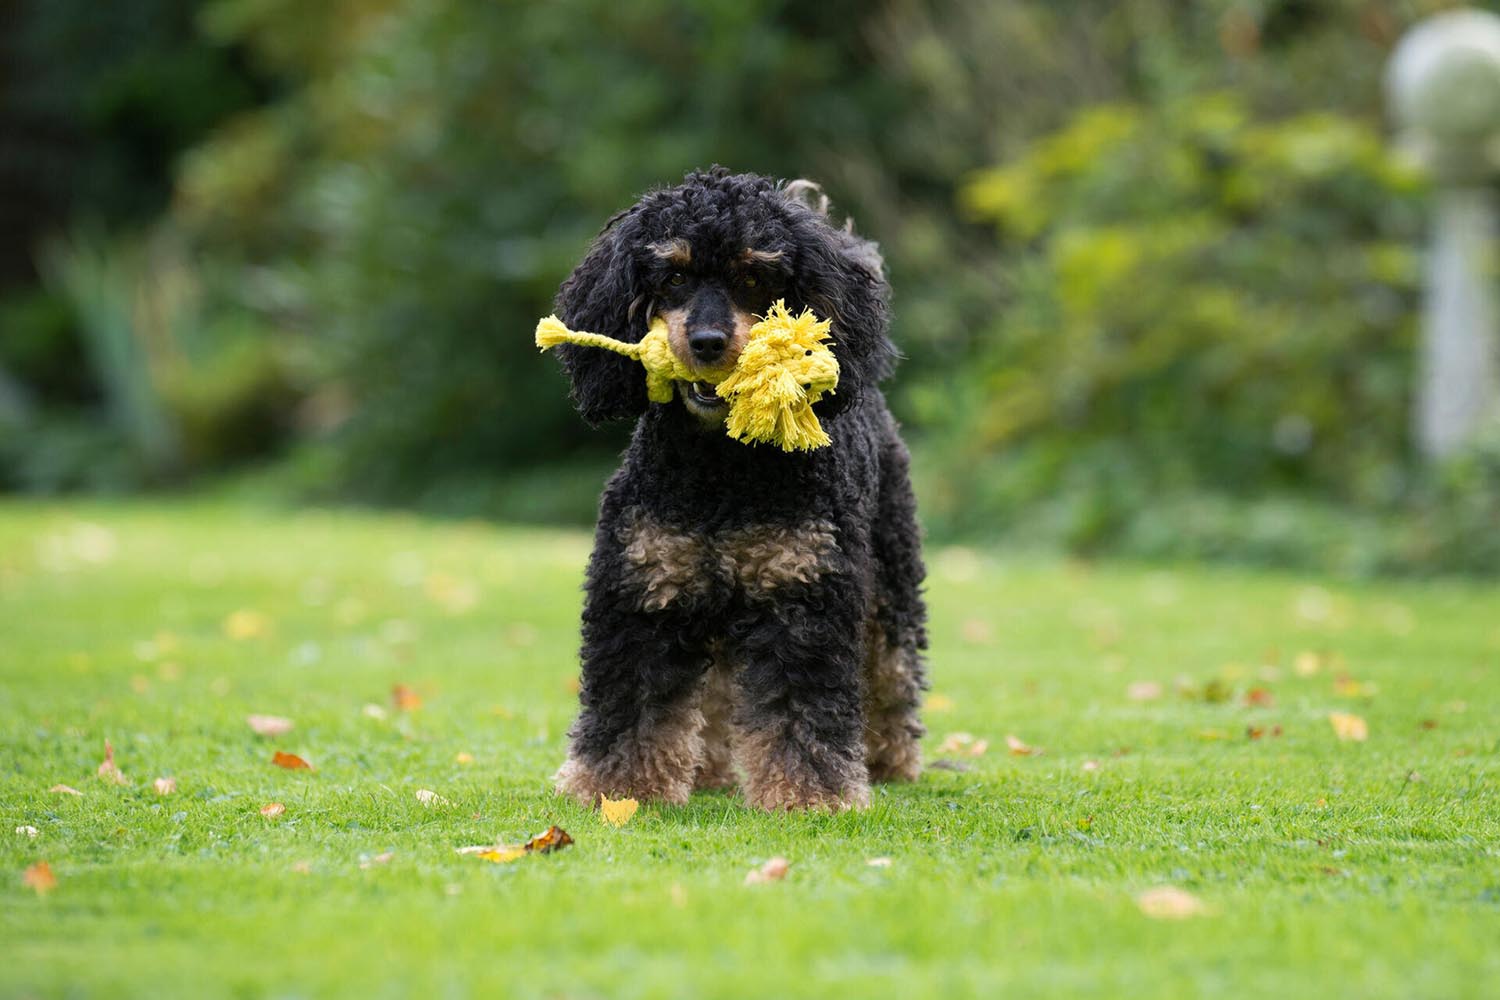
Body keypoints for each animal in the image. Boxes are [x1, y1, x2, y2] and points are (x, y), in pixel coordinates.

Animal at [552, 167, 924, 815]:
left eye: (753, 277)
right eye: (674, 275)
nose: (705, 340)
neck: (720, 474)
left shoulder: (802, 595)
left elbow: (801, 710)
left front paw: (809, 797)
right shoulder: (643, 588)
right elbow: (632, 704)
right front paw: (618, 791)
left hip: (892, 578)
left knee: (892, 674)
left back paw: (890, 765)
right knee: (718, 697)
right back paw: (708, 775)